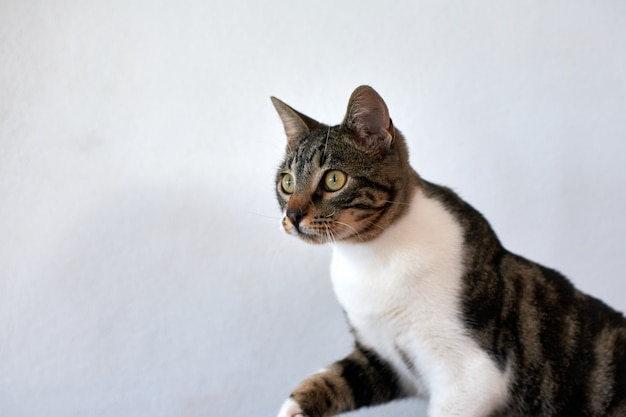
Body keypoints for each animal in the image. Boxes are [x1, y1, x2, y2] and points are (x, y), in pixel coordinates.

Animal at [270, 85, 624, 416]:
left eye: (334, 179)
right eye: (286, 183)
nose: (293, 215)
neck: (371, 257)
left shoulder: (472, 374)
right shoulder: (384, 360)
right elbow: (333, 379)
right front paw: (292, 408)